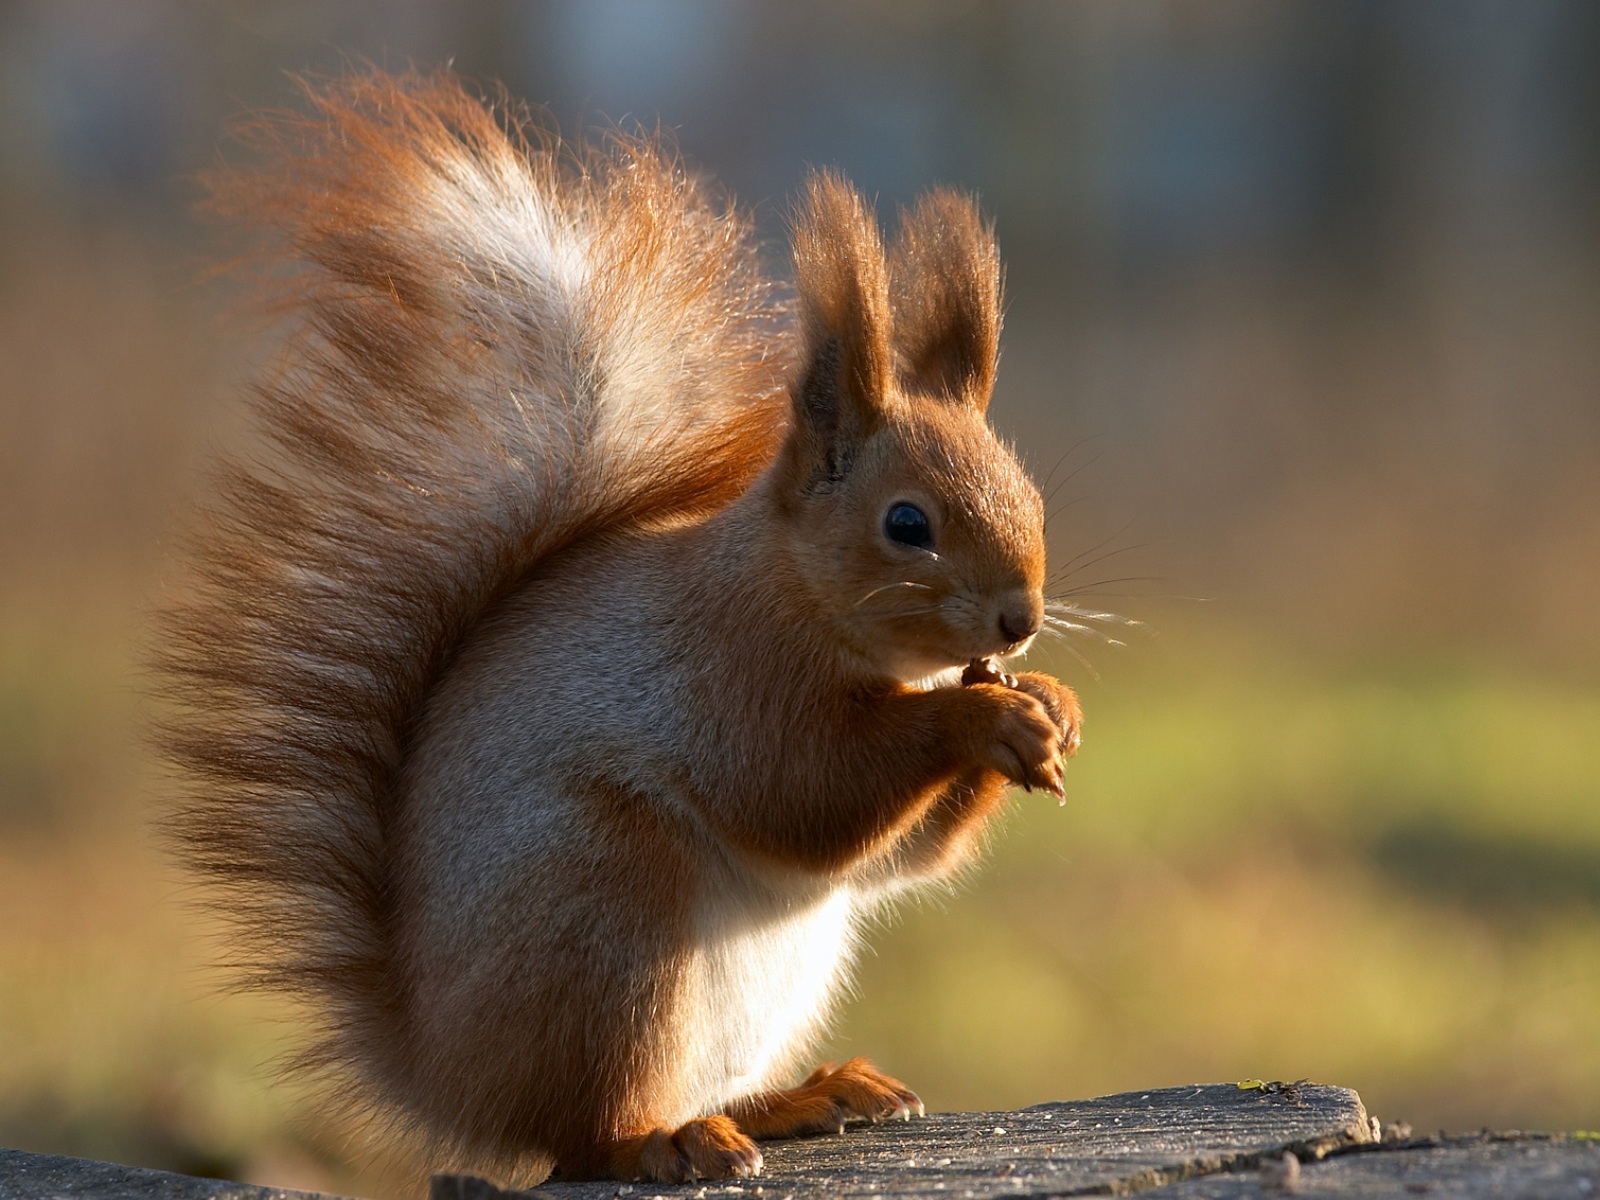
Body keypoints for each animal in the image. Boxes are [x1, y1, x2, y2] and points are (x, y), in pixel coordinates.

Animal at [156, 70, 1088, 1190]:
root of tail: (444, 1074)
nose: (1019, 619)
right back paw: (665, 1139)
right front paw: (986, 722)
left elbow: (898, 860)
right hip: (608, 907)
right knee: (582, 1132)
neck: (787, 590)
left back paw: (800, 1098)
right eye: (907, 524)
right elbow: (807, 793)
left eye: (1033, 497)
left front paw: (1050, 705)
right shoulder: (729, 674)